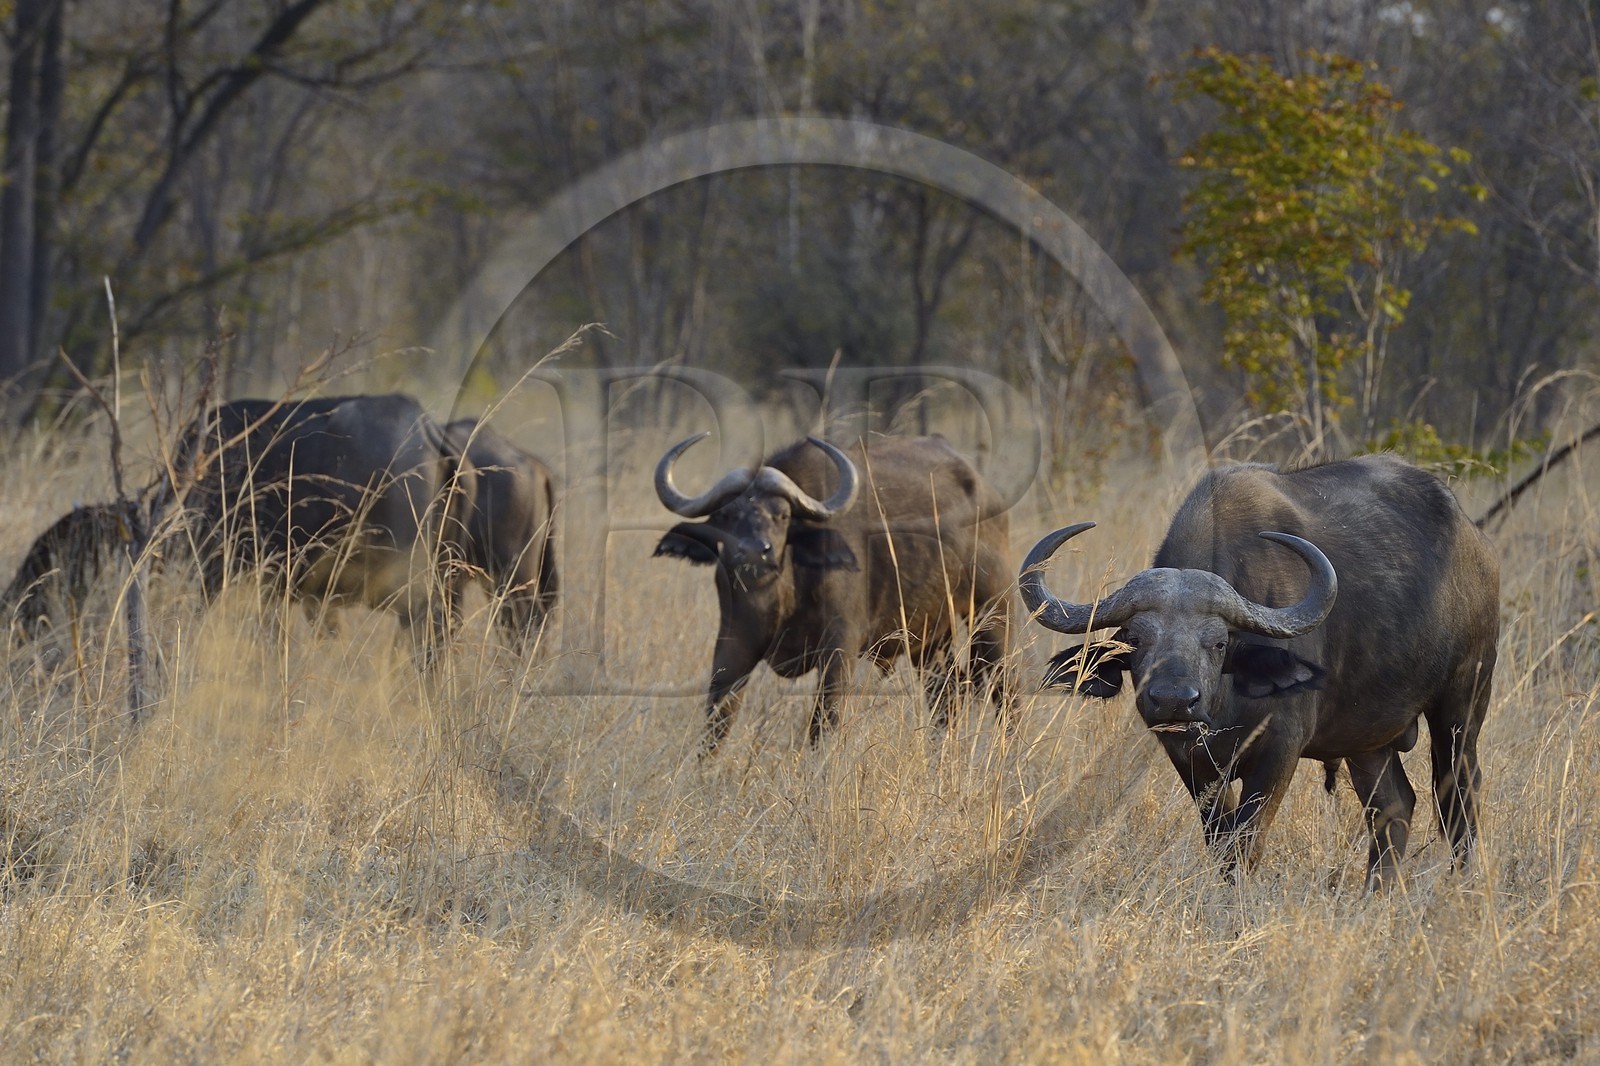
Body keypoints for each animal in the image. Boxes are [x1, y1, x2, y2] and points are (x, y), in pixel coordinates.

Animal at [654, 432, 1016, 753]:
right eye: (727, 515)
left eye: (782, 515)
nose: (756, 552)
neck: (781, 597)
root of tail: (986, 493)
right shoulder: (733, 644)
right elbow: (717, 720)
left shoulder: (839, 649)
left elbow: (824, 721)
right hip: (930, 639)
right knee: (947, 696)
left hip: (994, 612)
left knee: (1005, 687)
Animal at [1020, 454, 1499, 888]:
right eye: (1136, 640)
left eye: (1218, 643)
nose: (1174, 700)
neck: (1225, 706)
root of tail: (1476, 545)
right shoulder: (1190, 759)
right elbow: (1220, 841)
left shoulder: (1280, 750)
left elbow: (1246, 840)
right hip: (1368, 739)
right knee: (1394, 806)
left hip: (1462, 705)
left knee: (1458, 797)